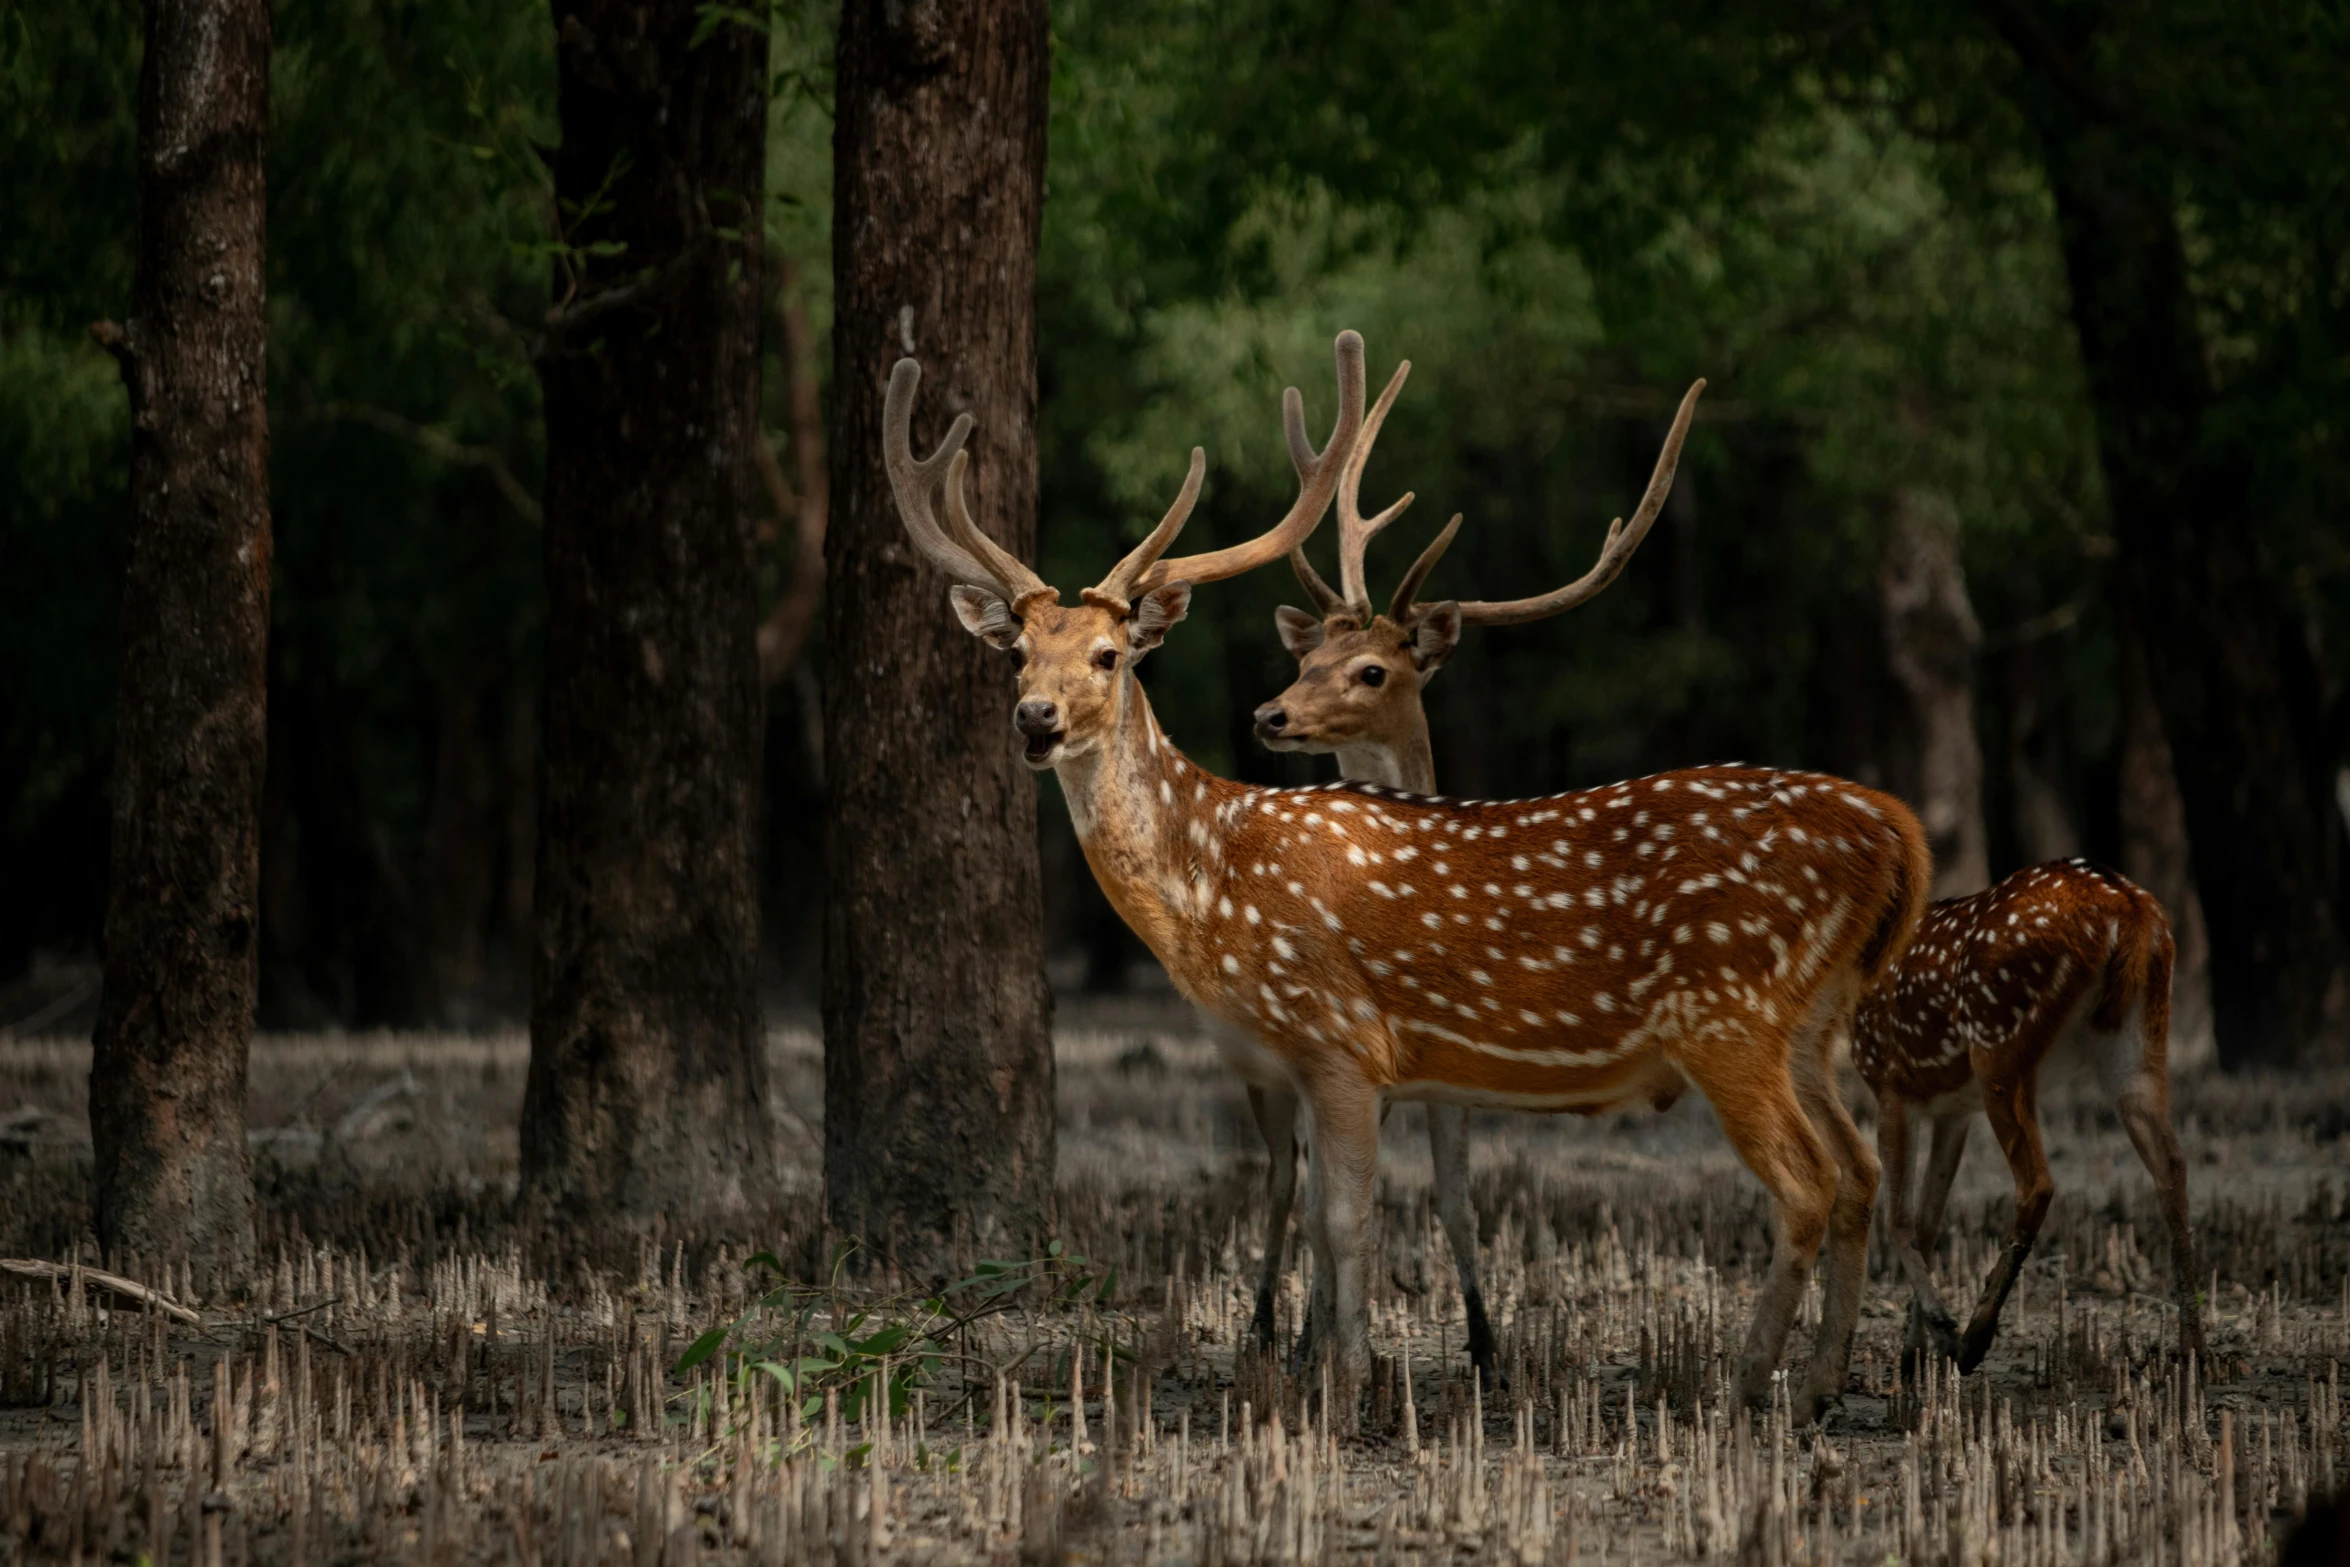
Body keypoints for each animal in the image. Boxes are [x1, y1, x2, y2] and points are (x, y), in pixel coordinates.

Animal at [883, 331, 1926, 1418]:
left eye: (1107, 653)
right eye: (1016, 653)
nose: (1035, 717)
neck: (1213, 882)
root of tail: (1897, 832)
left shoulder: (1339, 1035)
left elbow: (1349, 1221)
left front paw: (1346, 1389)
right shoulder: (1303, 1059)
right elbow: (1319, 1216)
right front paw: (1328, 1372)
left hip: (1728, 1012)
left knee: (1806, 1181)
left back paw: (1748, 1387)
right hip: (1806, 1022)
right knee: (1857, 1167)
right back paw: (1822, 1381)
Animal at [1851, 859, 2199, 1372]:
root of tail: (2127, 908)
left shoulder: (1891, 1082)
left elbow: (1897, 1220)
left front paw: (1939, 1332)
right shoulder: (1952, 1109)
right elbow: (1929, 1221)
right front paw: (1915, 1352)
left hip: (1999, 1043)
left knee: (2038, 1183)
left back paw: (1974, 1339)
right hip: (2139, 1045)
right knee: (2172, 1167)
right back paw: (2194, 1349)